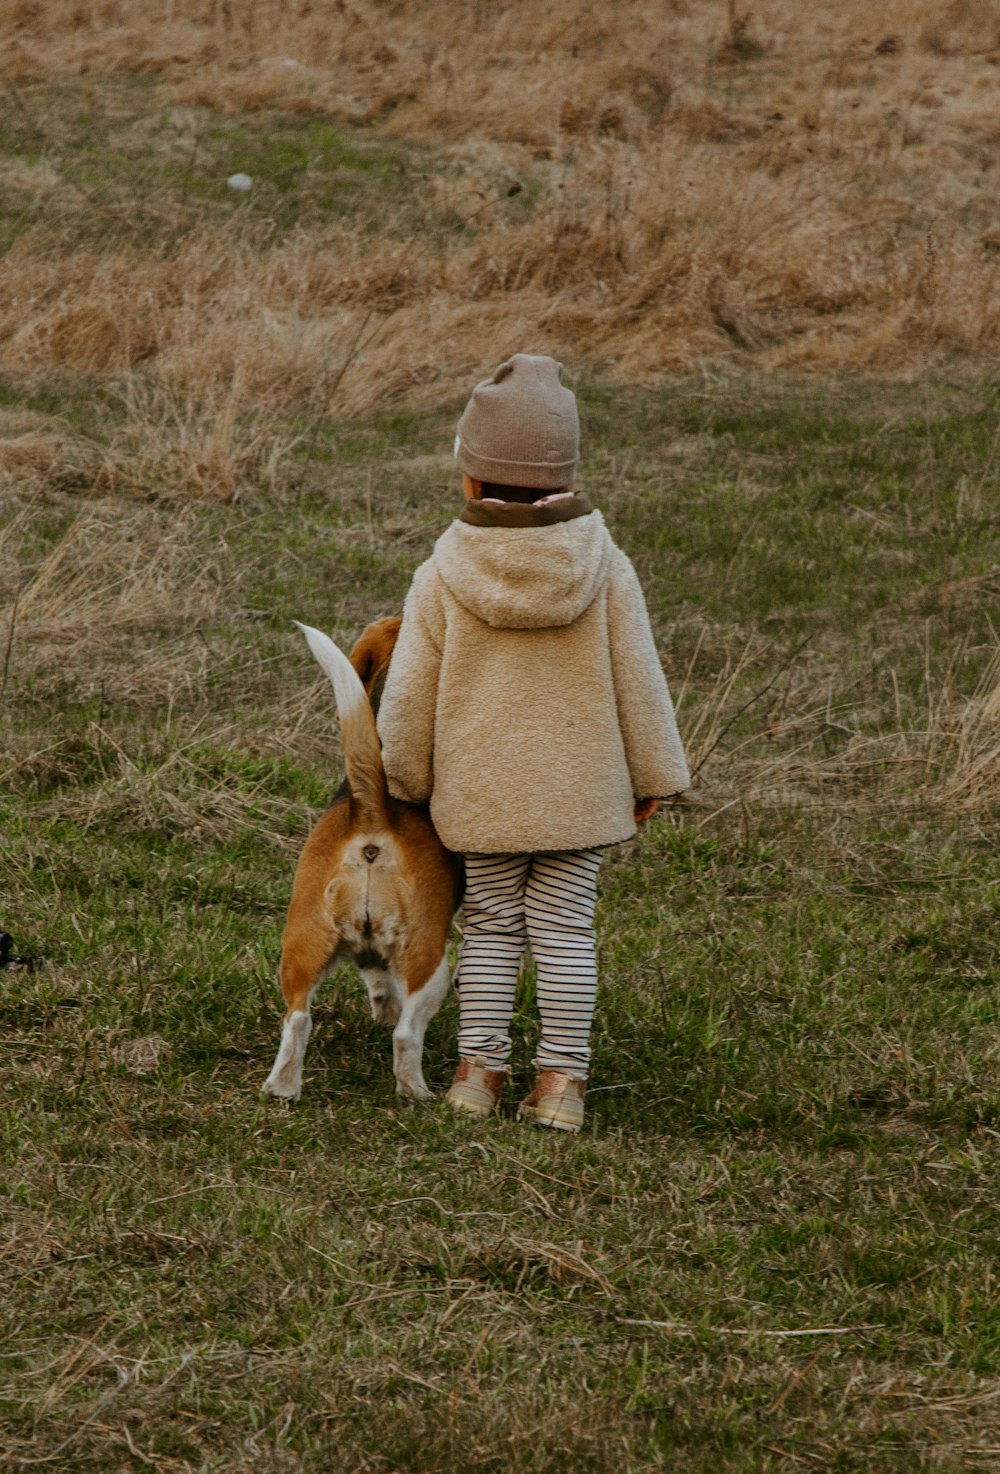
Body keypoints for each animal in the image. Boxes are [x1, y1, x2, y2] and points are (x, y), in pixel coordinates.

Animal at [258, 616, 463, 1102]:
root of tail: (371, 808)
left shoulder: (369, 954)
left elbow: (378, 980)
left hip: (303, 943)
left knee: (297, 1019)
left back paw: (282, 1087)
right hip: (431, 959)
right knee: (407, 1034)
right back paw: (416, 1092)